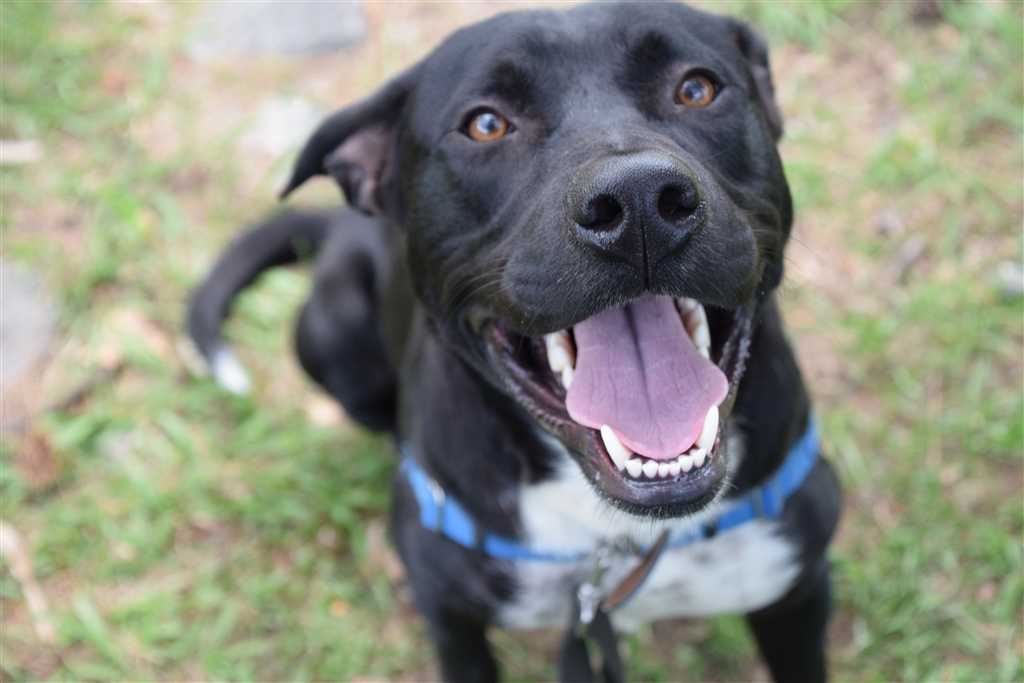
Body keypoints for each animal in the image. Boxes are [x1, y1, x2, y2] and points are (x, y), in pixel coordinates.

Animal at [190, 2, 839, 679]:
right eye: (485, 125)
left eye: (697, 89)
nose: (638, 199)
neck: (611, 539)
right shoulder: (453, 623)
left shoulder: (796, 590)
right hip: (330, 340)